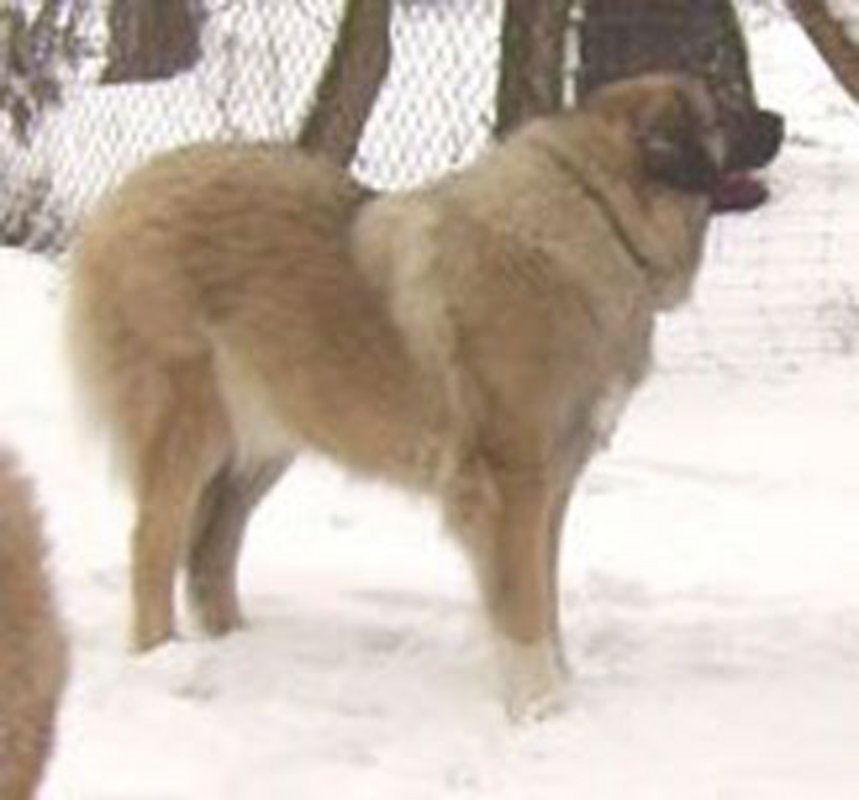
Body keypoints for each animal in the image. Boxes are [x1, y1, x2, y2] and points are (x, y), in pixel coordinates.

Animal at [66, 73, 783, 720]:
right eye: (722, 107)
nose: (778, 119)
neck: (600, 220)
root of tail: (128, 191)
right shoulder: (514, 481)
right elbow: (524, 602)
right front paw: (539, 709)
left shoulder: (553, 482)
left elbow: (544, 595)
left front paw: (559, 689)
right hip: (189, 428)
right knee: (153, 545)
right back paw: (160, 659)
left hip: (266, 441)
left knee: (211, 547)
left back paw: (237, 647)